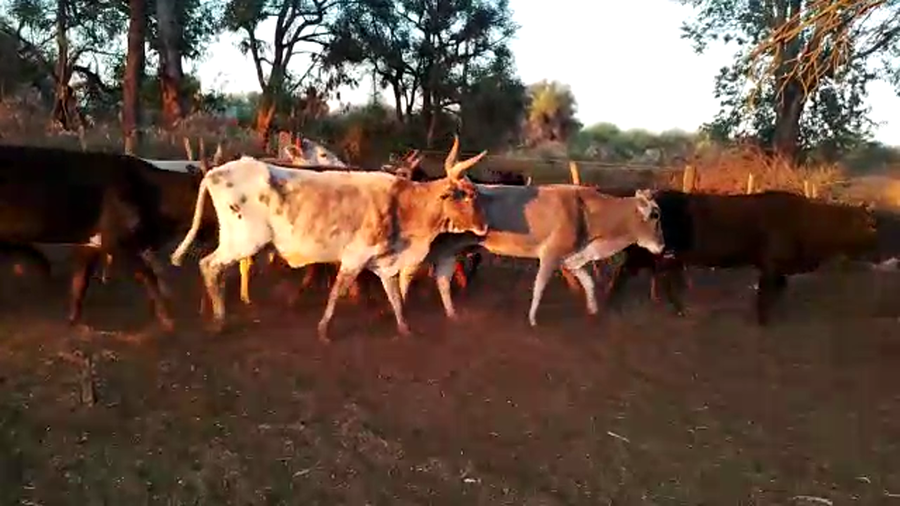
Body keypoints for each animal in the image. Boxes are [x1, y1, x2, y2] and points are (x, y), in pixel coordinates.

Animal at [0, 144, 217, 329]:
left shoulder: (91, 243)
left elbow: (80, 282)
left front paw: (74, 320)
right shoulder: (117, 243)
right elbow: (148, 276)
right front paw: (168, 320)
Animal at [169, 136, 490, 342]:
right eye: (467, 195)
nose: (484, 227)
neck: (404, 203)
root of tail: (216, 171)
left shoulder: (383, 263)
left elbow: (395, 297)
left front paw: (404, 328)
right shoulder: (354, 258)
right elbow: (337, 291)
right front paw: (324, 330)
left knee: (214, 269)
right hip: (244, 241)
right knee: (209, 265)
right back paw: (219, 321)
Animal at [396, 181, 665, 326]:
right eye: (655, 214)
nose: (662, 247)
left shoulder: (572, 259)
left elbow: (588, 283)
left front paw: (593, 311)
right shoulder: (550, 255)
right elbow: (539, 288)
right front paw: (533, 319)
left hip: (451, 252)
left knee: (441, 280)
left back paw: (451, 314)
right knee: (405, 275)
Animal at [604, 190, 880, 325]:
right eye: (869, 226)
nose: (878, 250)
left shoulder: (777, 268)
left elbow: (780, 288)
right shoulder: (771, 265)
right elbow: (766, 292)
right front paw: (763, 319)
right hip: (650, 253)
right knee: (629, 273)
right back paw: (612, 304)